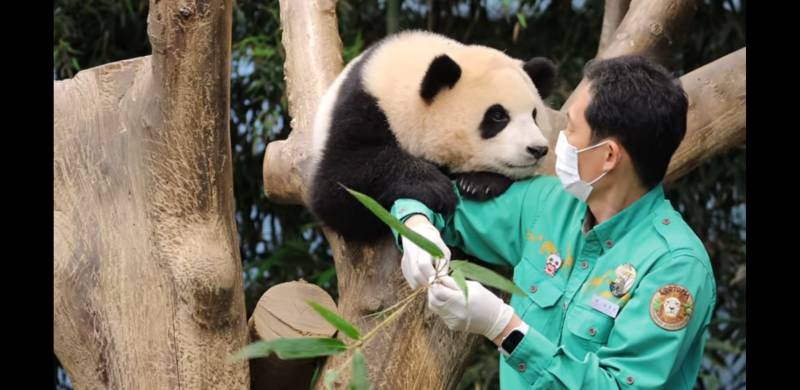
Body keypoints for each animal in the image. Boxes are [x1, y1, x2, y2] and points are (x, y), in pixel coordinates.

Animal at [308, 30, 556, 242]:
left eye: (534, 115)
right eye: (497, 116)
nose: (537, 149)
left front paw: (480, 183)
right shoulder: (362, 108)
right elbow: (338, 185)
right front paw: (433, 186)